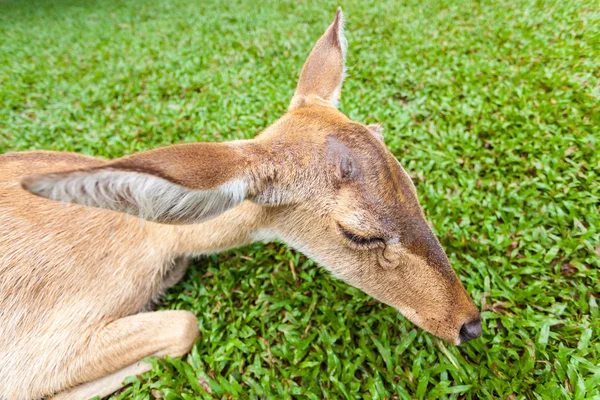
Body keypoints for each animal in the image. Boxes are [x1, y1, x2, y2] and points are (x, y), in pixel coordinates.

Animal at [0, 7, 480, 398]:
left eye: (408, 180)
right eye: (358, 233)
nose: (469, 323)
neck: (157, 242)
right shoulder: (38, 349)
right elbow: (185, 324)